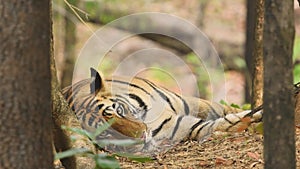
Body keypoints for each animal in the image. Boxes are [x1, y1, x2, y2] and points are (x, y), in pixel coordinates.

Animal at [62, 68, 262, 152]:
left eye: (119, 110)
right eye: (105, 133)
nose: (142, 135)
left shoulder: (191, 102)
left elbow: (224, 110)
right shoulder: (180, 126)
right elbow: (219, 124)